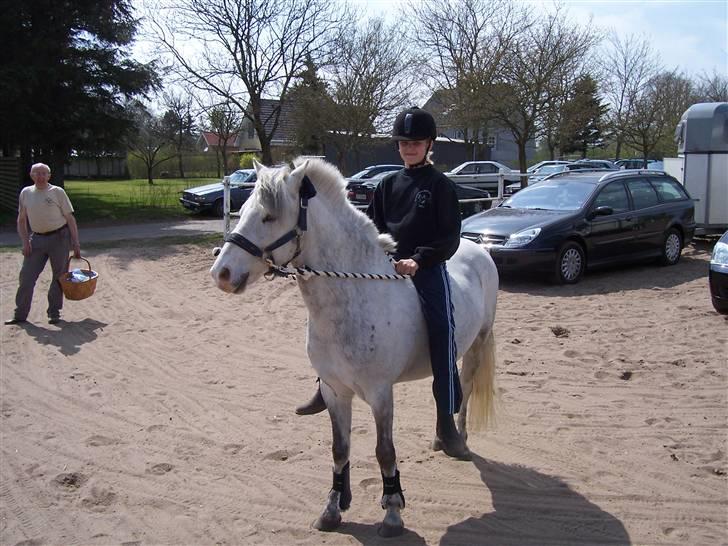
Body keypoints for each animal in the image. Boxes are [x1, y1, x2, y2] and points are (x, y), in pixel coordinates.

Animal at [208, 157, 498, 536]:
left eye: (269, 217)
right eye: (240, 211)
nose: (221, 273)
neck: (354, 296)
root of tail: (477, 249)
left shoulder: (380, 394)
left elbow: (384, 451)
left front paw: (392, 513)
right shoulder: (335, 391)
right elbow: (339, 449)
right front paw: (333, 507)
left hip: (477, 342)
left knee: (462, 388)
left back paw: (458, 440)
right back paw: (441, 438)